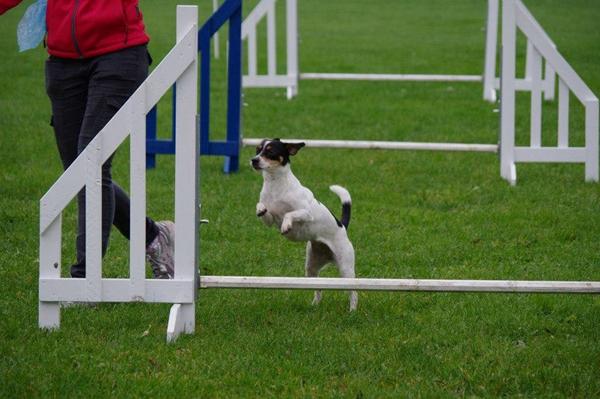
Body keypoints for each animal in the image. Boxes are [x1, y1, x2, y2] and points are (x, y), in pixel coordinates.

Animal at [250, 139, 356, 310]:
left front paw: (286, 226)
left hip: (346, 269)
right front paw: (260, 208)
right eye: (257, 150)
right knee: (318, 288)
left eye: (270, 151)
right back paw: (315, 305)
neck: (276, 185)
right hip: (311, 267)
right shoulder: (269, 220)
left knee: (354, 292)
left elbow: (289, 214)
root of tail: (342, 226)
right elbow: (262, 207)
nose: (254, 160)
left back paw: (352, 310)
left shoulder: (306, 213)